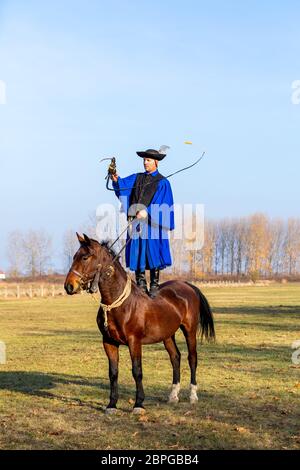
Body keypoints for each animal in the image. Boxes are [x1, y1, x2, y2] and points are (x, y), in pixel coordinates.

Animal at [65, 233, 216, 414]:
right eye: (75, 256)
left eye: (85, 257)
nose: (69, 286)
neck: (118, 303)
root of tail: (187, 285)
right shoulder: (108, 342)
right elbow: (113, 373)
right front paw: (112, 404)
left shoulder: (134, 342)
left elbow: (137, 371)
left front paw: (139, 404)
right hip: (167, 335)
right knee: (175, 357)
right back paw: (173, 395)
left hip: (189, 330)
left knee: (192, 358)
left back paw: (193, 395)